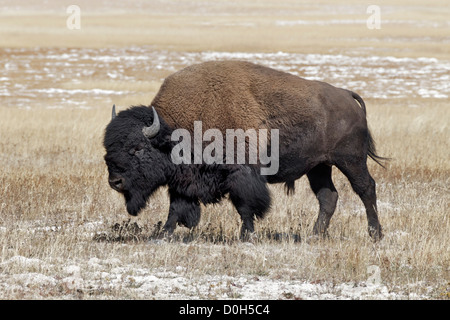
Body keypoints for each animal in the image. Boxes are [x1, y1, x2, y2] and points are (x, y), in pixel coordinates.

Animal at [103, 60, 384, 240]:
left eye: (137, 148)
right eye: (107, 147)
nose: (115, 181)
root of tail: (347, 96)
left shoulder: (242, 174)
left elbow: (245, 205)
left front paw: (246, 235)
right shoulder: (183, 180)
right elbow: (176, 207)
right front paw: (163, 234)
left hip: (350, 161)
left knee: (366, 189)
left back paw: (375, 234)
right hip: (318, 167)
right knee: (328, 197)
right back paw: (315, 236)